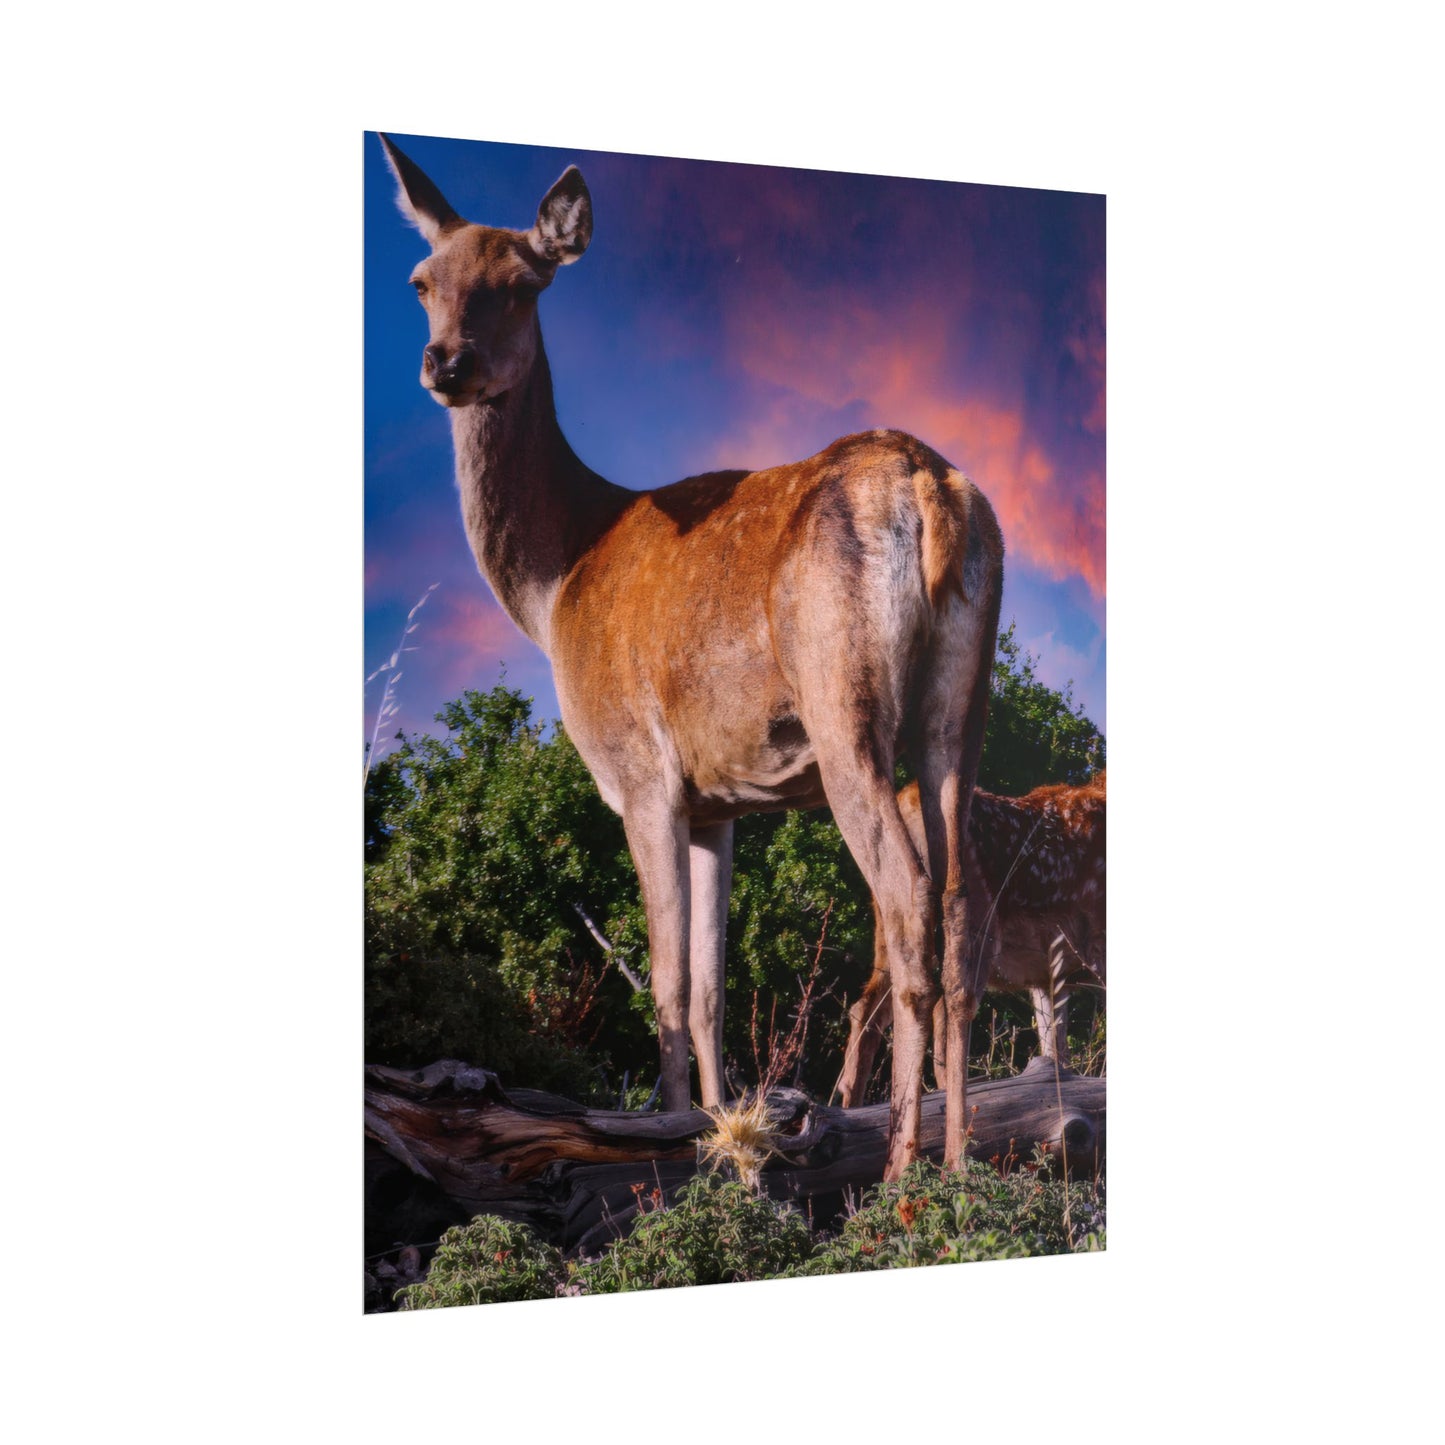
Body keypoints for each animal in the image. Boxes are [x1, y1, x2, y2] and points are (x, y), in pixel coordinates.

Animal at [379, 134, 1004, 1178]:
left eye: (522, 283)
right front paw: (720, 1134)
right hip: (960, 703)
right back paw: (960, 1162)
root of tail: (930, 488)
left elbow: (666, 983)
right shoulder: (719, 802)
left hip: (844, 700)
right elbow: (711, 989)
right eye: (425, 280)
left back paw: (900, 1170)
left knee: (907, 896)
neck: (555, 581)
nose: (446, 362)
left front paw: (667, 1143)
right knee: (959, 902)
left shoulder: (640, 771)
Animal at [838, 771, 1106, 1105]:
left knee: (868, 1009)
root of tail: (909, 799)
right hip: (975, 930)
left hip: (892, 932)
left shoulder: (1048, 976)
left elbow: (1056, 1055)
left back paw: (851, 1104)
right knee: (947, 1017)